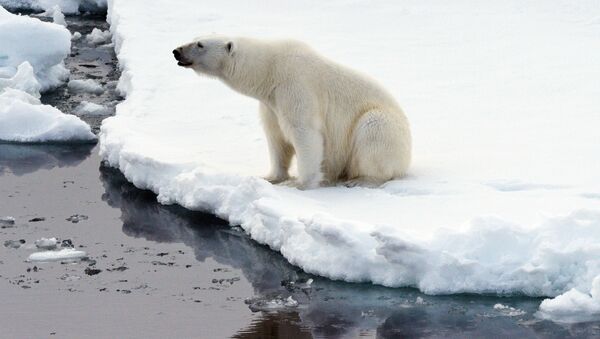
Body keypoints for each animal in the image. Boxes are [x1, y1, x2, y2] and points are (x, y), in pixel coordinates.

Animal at [171, 37, 410, 191]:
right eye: (195, 38)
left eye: (200, 44)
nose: (176, 51)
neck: (270, 70)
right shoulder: (271, 103)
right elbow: (276, 137)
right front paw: (270, 177)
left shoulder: (295, 87)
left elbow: (304, 133)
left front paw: (300, 183)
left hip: (382, 125)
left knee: (373, 131)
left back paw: (362, 180)